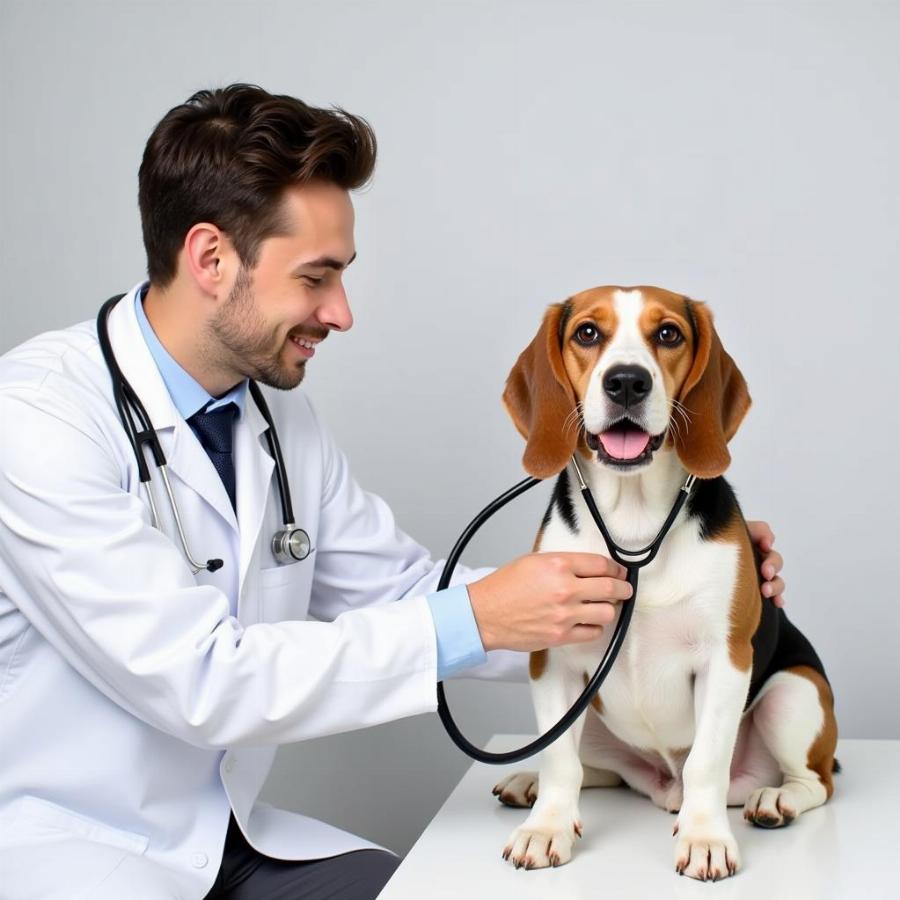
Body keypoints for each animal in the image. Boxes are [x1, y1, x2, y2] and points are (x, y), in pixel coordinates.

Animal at [492, 286, 836, 880]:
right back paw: (528, 782)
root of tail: (661, 785)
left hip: (793, 693)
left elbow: (707, 761)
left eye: (669, 333)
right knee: (593, 768)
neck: (635, 517)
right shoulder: (553, 658)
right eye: (587, 332)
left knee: (813, 780)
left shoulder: (725, 659)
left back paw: (775, 800)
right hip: (591, 715)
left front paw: (704, 839)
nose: (627, 381)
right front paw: (546, 826)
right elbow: (561, 761)